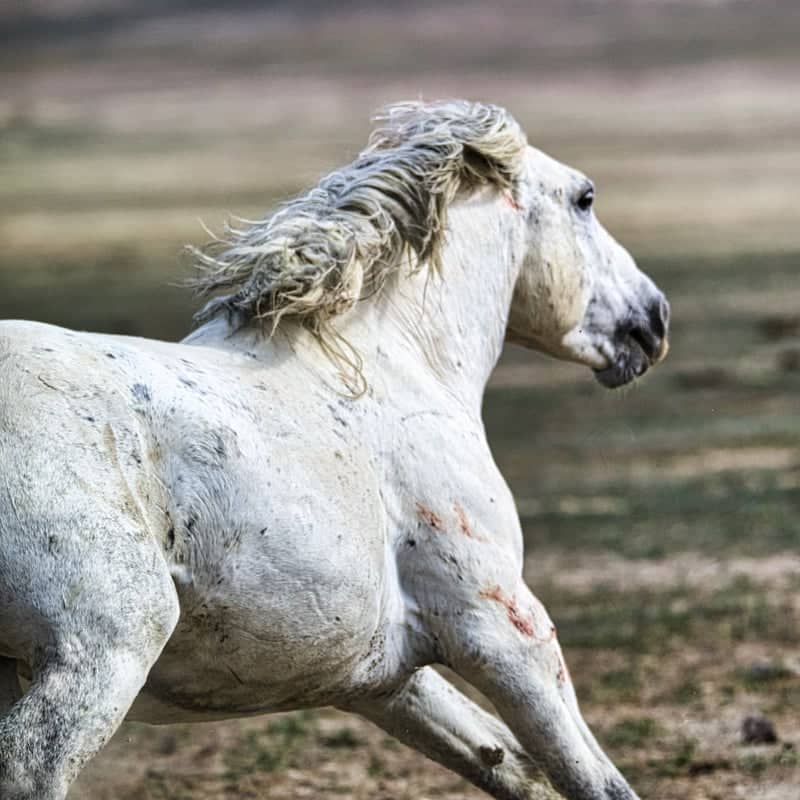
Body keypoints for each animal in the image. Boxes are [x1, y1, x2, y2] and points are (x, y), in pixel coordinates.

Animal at [0, 100, 669, 800]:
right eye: (585, 199)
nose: (654, 319)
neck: (392, 371)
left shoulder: (379, 677)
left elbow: (508, 761)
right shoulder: (502, 630)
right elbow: (592, 778)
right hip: (103, 651)